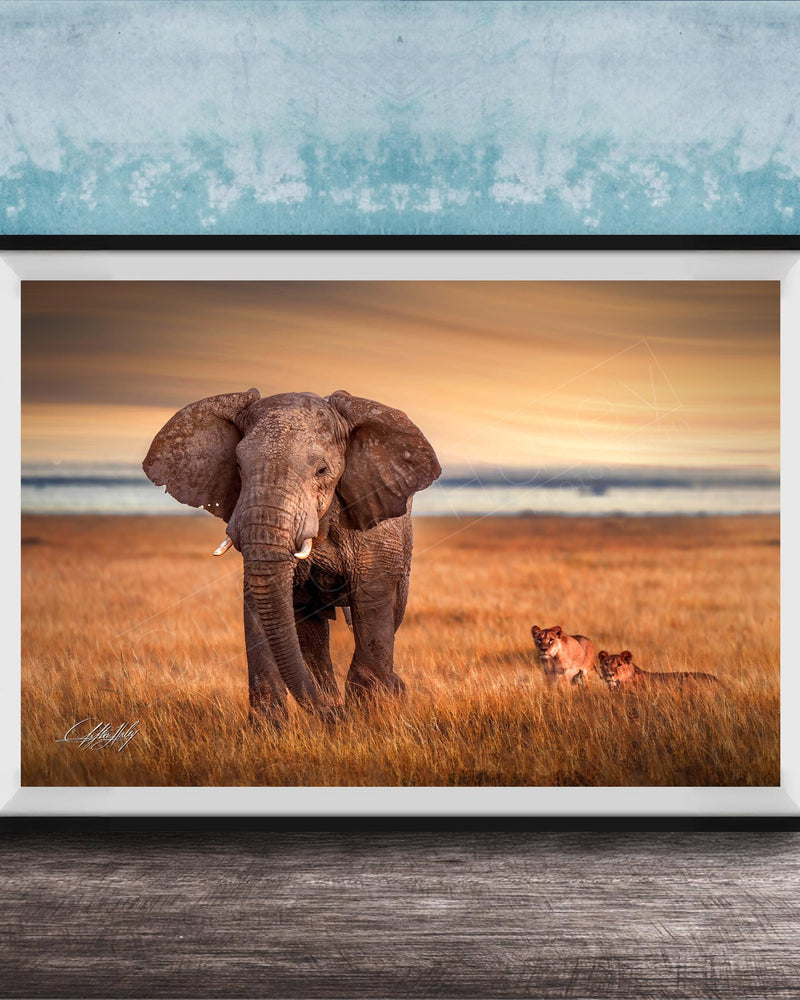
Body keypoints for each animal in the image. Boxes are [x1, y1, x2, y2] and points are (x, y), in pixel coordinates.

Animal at [143, 389, 441, 724]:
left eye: (322, 471)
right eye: (239, 467)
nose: (336, 716)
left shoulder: (375, 532)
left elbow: (372, 603)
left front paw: (372, 710)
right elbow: (261, 603)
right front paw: (270, 728)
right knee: (309, 630)